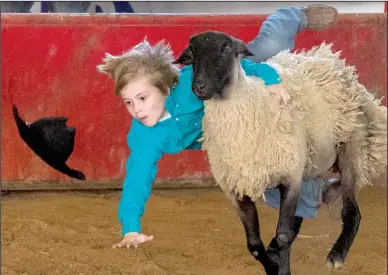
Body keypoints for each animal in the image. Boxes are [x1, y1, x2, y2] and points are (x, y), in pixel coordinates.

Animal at [174, 30, 386, 275]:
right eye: (192, 53)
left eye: (227, 49)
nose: (200, 86)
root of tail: (332, 60)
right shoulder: (237, 189)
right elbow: (255, 245)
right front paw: (273, 263)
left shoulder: (290, 176)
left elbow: (284, 235)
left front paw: (281, 266)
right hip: (312, 161)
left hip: (350, 146)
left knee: (351, 211)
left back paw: (336, 255)